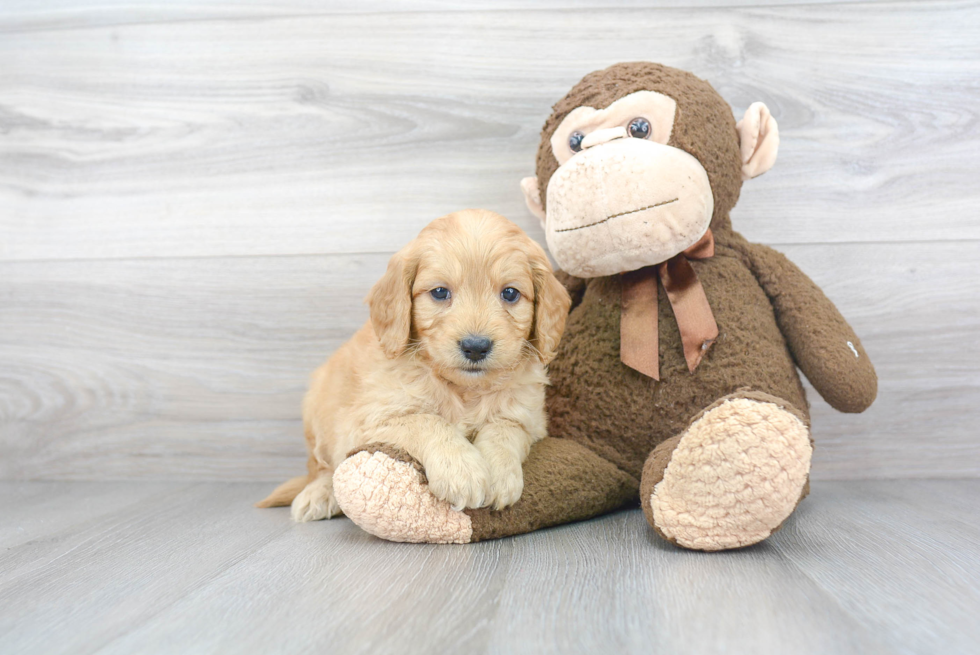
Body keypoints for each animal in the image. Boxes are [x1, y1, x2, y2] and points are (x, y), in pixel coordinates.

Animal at [256, 210, 572, 524]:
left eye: (510, 294)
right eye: (440, 292)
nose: (476, 346)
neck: (464, 391)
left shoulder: (529, 419)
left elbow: (505, 428)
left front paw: (499, 474)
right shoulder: (370, 421)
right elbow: (427, 421)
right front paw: (461, 470)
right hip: (318, 414)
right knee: (320, 468)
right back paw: (318, 495)